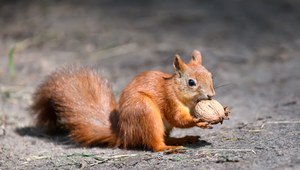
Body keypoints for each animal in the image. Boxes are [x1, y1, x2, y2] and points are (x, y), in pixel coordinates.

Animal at [30, 49, 214, 151]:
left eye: (211, 75)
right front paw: (197, 121)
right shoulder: (169, 100)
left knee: (163, 137)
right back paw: (169, 148)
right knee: (154, 143)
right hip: (145, 112)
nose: (211, 95)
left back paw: (180, 140)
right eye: (191, 82)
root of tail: (123, 133)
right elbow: (178, 119)